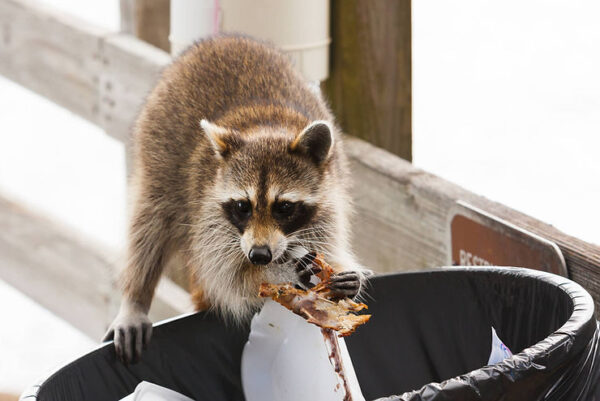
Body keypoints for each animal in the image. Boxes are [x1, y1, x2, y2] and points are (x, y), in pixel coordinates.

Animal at [103, 36, 366, 364]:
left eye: (284, 207)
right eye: (243, 206)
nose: (259, 256)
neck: (268, 129)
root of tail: (220, 39)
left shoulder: (329, 203)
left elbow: (327, 246)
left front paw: (345, 276)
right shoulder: (209, 215)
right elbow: (228, 278)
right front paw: (274, 273)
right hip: (158, 151)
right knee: (149, 222)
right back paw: (135, 299)